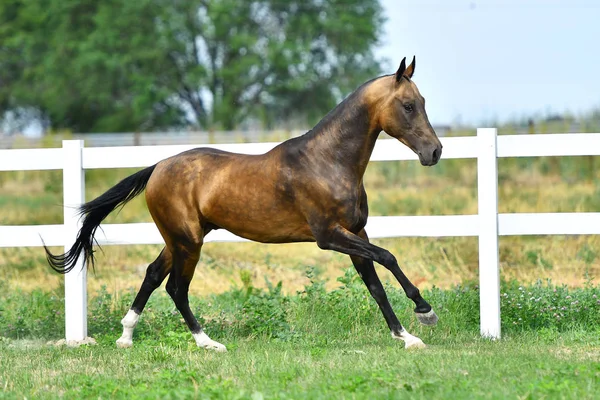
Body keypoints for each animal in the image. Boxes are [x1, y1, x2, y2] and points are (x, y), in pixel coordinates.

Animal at [44, 55, 442, 350]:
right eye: (408, 105)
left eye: (423, 102)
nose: (434, 152)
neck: (328, 162)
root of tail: (158, 167)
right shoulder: (329, 236)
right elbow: (388, 257)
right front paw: (425, 311)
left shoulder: (356, 232)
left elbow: (375, 286)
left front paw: (407, 337)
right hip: (188, 241)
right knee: (176, 288)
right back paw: (207, 343)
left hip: (179, 239)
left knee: (154, 275)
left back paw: (126, 337)